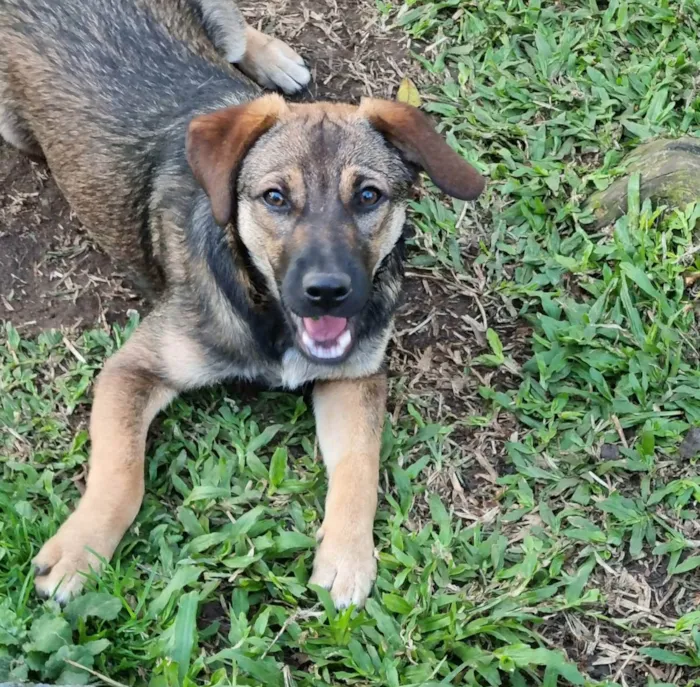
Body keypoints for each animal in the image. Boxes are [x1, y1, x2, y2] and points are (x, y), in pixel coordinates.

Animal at [0, 0, 484, 612]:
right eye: (275, 198)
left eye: (369, 196)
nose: (327, 290)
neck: (268, 314)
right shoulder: (132, 369)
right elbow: (121, 474)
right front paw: (78, 551)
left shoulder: (354, 378)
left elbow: (359, 467)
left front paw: (348, 558)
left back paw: (276, 60)